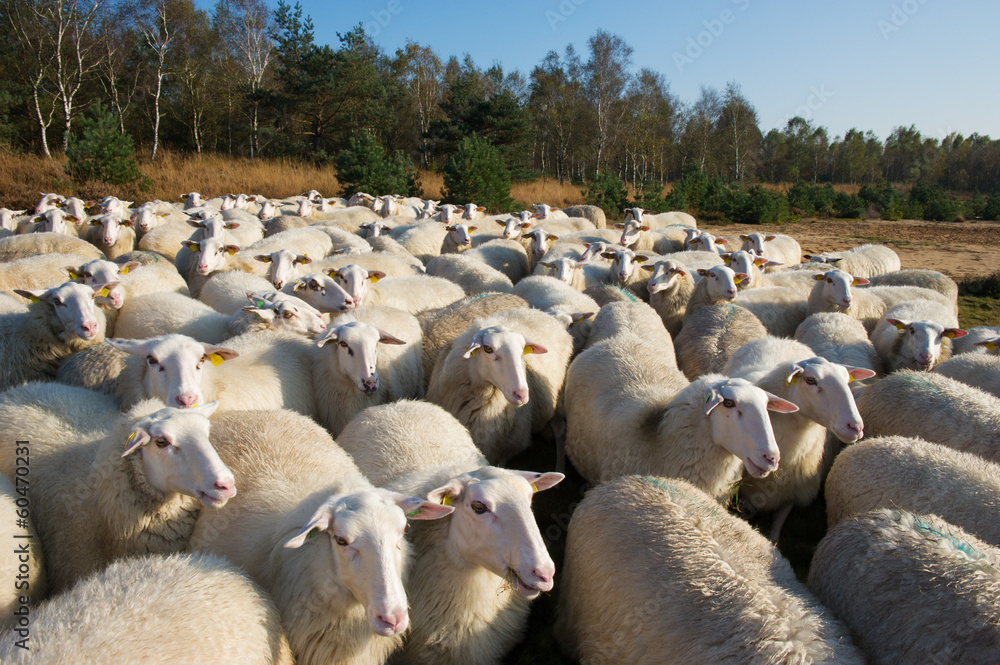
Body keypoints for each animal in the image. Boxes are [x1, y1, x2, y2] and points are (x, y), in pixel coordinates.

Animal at [426, 307, 573, 464]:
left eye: (522, 351)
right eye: (488, 349)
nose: (522, 394)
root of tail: (538, 311)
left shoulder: (504, 449)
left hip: (557, 396)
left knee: (560, 430)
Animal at [723, 337, 873, 538]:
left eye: (846, 380)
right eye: (811, 380)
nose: (855, 427)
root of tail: (780, 339)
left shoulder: (792, 493)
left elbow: (776, 531)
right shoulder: (746, 494)